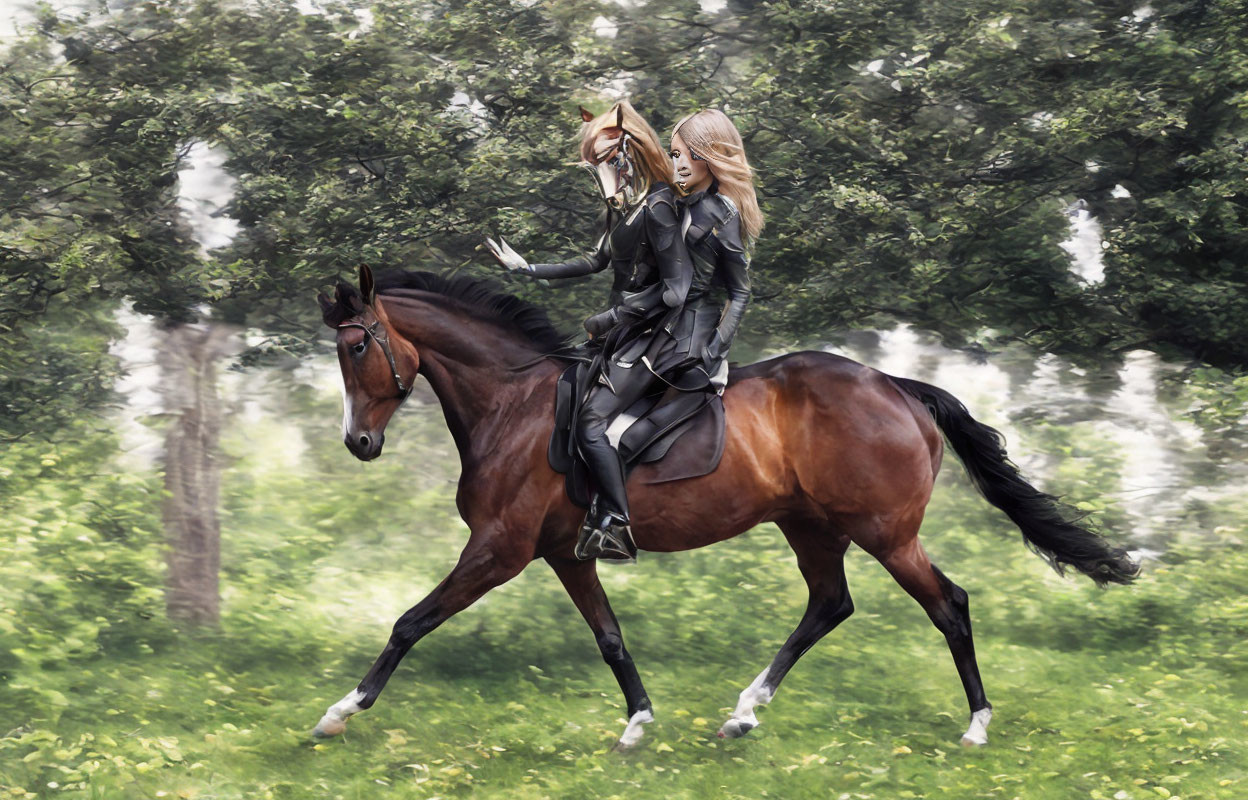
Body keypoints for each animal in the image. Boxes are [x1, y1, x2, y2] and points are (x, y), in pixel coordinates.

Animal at [312, 263, 1143, 748]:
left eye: (356, 347)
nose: (358, 442)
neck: (510, 406)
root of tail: (898, 388)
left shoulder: (499, 549)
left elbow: (411, 621)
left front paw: (339, 712)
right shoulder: (562, 554)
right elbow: (610, 638)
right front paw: (638, 723)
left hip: (885, 532)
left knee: (949, 605)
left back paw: (976, 726)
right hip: (809, 525)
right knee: (830, 605)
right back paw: (743, 711)